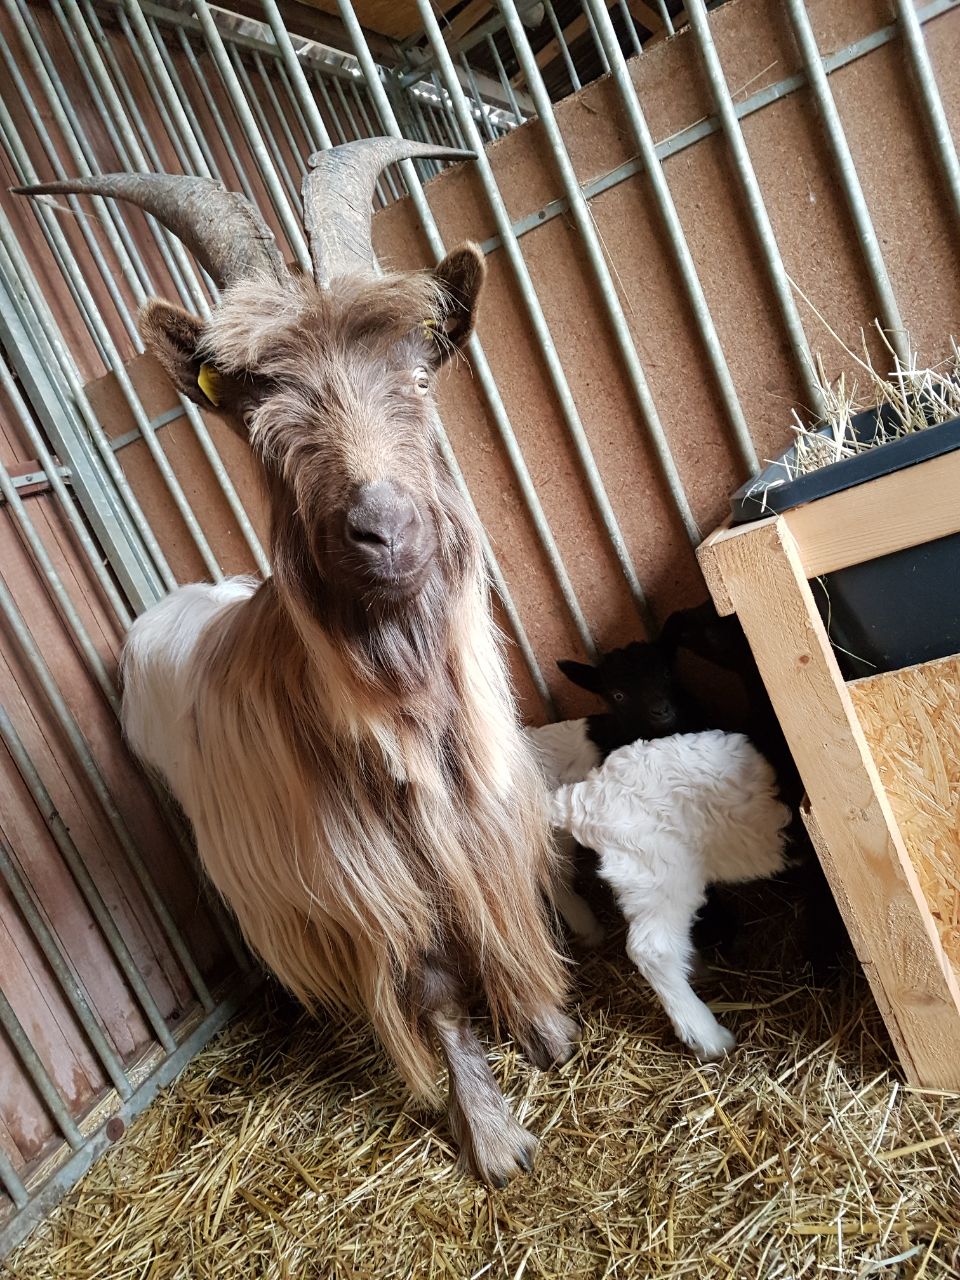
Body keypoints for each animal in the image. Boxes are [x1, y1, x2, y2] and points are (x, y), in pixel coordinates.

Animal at [16, 137, 578, 1177]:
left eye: (419, 371)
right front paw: (493, 1139)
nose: (384, 529)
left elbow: (495, 909)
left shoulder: (476, 816)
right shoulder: (366, 883)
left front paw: (549, 1031)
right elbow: (434, 986)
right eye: (257, 406)